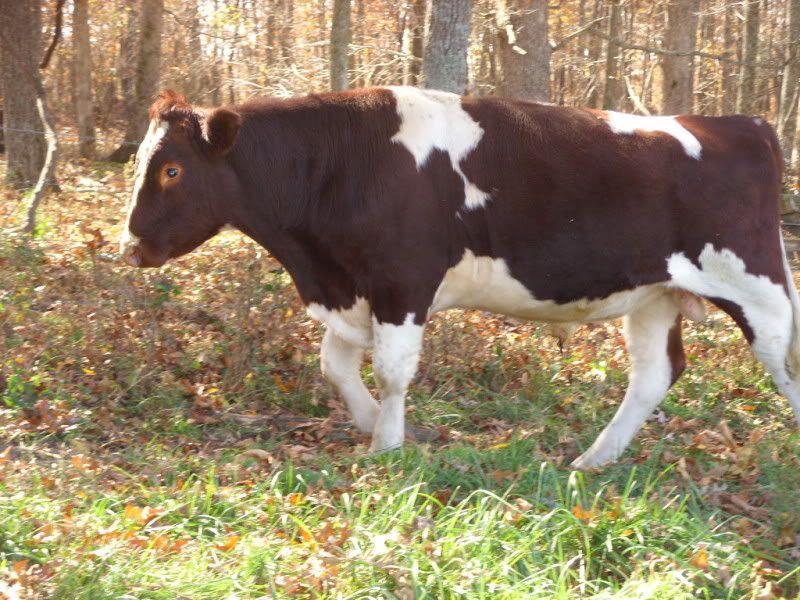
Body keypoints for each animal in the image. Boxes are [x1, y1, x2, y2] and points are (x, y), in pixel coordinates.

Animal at [119, 87, 800, 469]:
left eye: (173, 170)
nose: (130, 246)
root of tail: (742, 123)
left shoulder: (402, 283)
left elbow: (393, 372)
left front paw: (387, 444)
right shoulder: (351, 286)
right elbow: (334, 365)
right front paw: (373, 424)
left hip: (761, 292)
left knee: (782, 368)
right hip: (655, 297)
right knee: (654, 376)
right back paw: (592, 461)